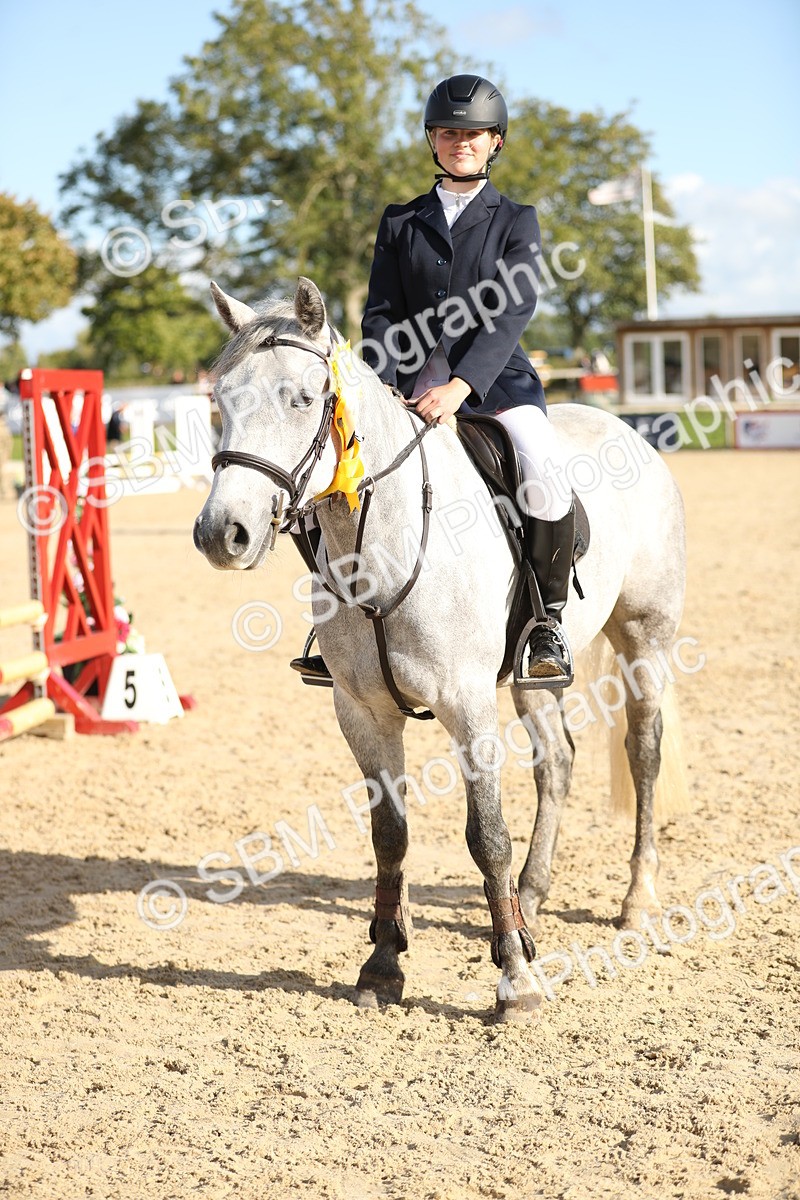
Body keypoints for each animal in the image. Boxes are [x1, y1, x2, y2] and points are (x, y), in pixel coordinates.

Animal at [193, 277, 687, 1022]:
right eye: (220, 400)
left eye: (302, 399)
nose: (223, 533)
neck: (383, 540)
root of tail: (629, 429)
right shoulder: (362, 711)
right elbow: (389, 834)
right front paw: (382, 966)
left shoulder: (465, 701)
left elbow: (485, 835)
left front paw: (516, 980)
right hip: (531, 676)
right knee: (557, 761)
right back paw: (529, 900)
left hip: (642, 637)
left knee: (645, 752)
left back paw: (635, 902)